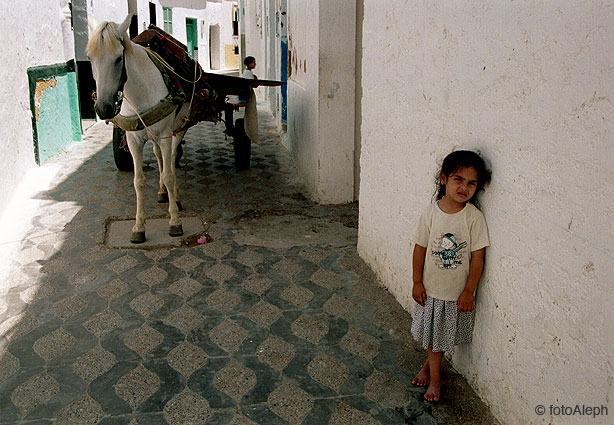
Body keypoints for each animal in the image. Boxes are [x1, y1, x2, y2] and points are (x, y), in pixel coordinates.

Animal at [87, 14, 190, 243]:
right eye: (89, 58)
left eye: (119, 58)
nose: (104, 108)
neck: (139, 92)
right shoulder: (133, 140)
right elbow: (138, 181)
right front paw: (139, 226)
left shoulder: (165, 135)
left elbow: (169, 174)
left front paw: (174, 222)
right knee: (159, 157)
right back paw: (162, 192)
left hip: (178, 128)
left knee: (170, 160)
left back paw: (175, 196)